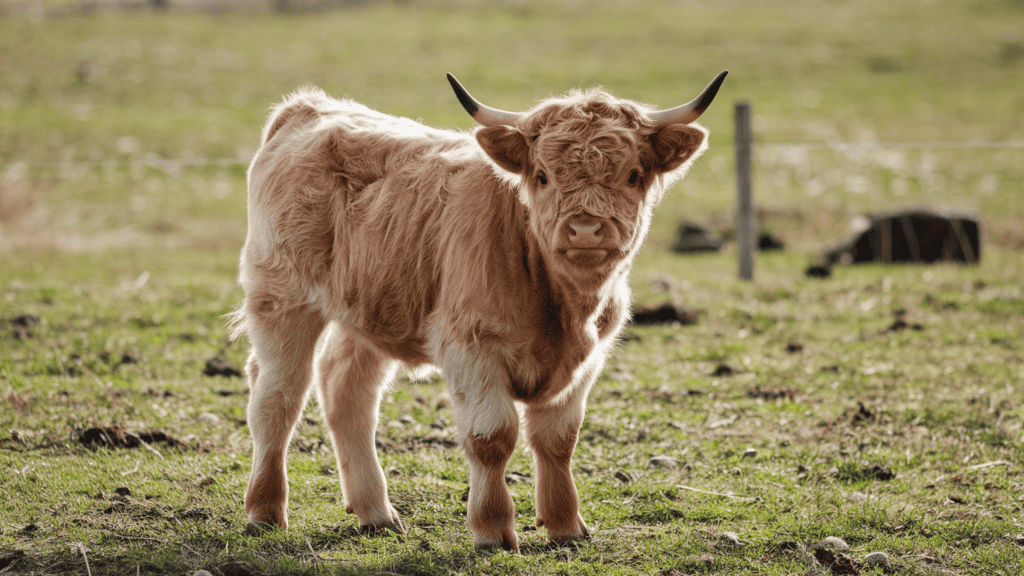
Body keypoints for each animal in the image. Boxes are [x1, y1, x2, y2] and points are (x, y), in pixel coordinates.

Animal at [229, 70, 727, 551]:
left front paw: (566, 525)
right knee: (277, 397)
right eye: (542, 175)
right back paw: (265, 511)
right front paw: (491, 530)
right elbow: (492, 437)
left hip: (372, 305)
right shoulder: (471, 347)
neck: (564, 309)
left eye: (633, 174)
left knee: (346, 390)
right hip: (282, 298)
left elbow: (558, 440)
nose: (586, 229)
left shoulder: (587, 361)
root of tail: (309, 107)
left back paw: (377, 514)